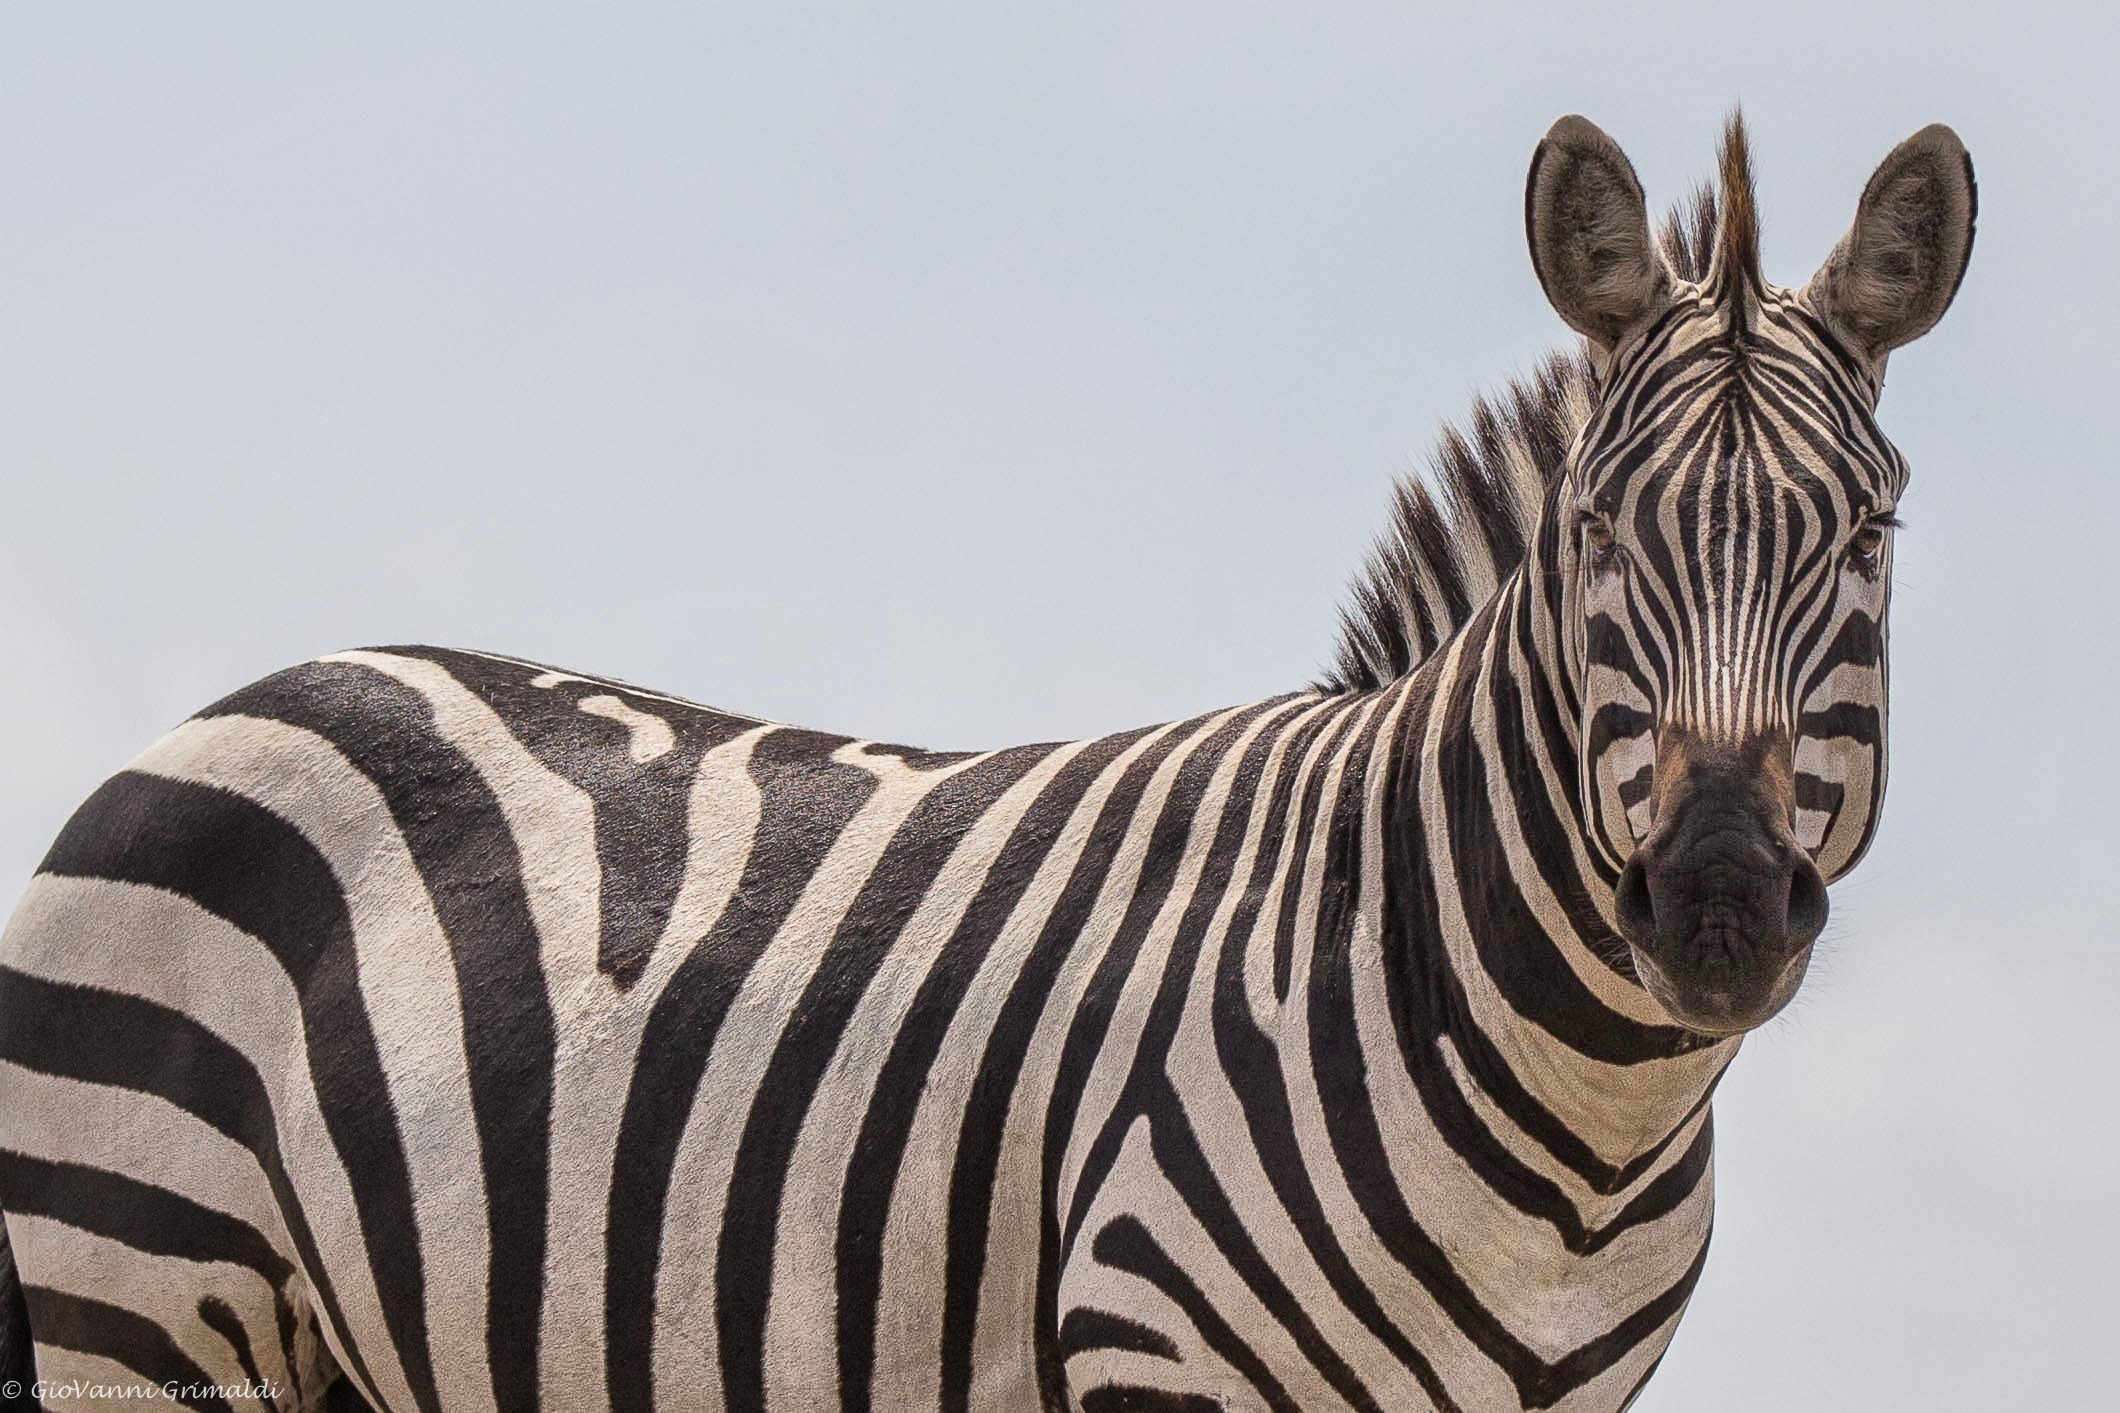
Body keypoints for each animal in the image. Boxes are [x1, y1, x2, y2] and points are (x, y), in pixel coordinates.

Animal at [0, 111, 1974, 1412]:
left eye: (1872, 534)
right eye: (1593, 538)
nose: (1715, 904)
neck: (1578, 1125)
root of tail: (239, 698)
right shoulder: (1153, 1351)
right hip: (135, 1297)